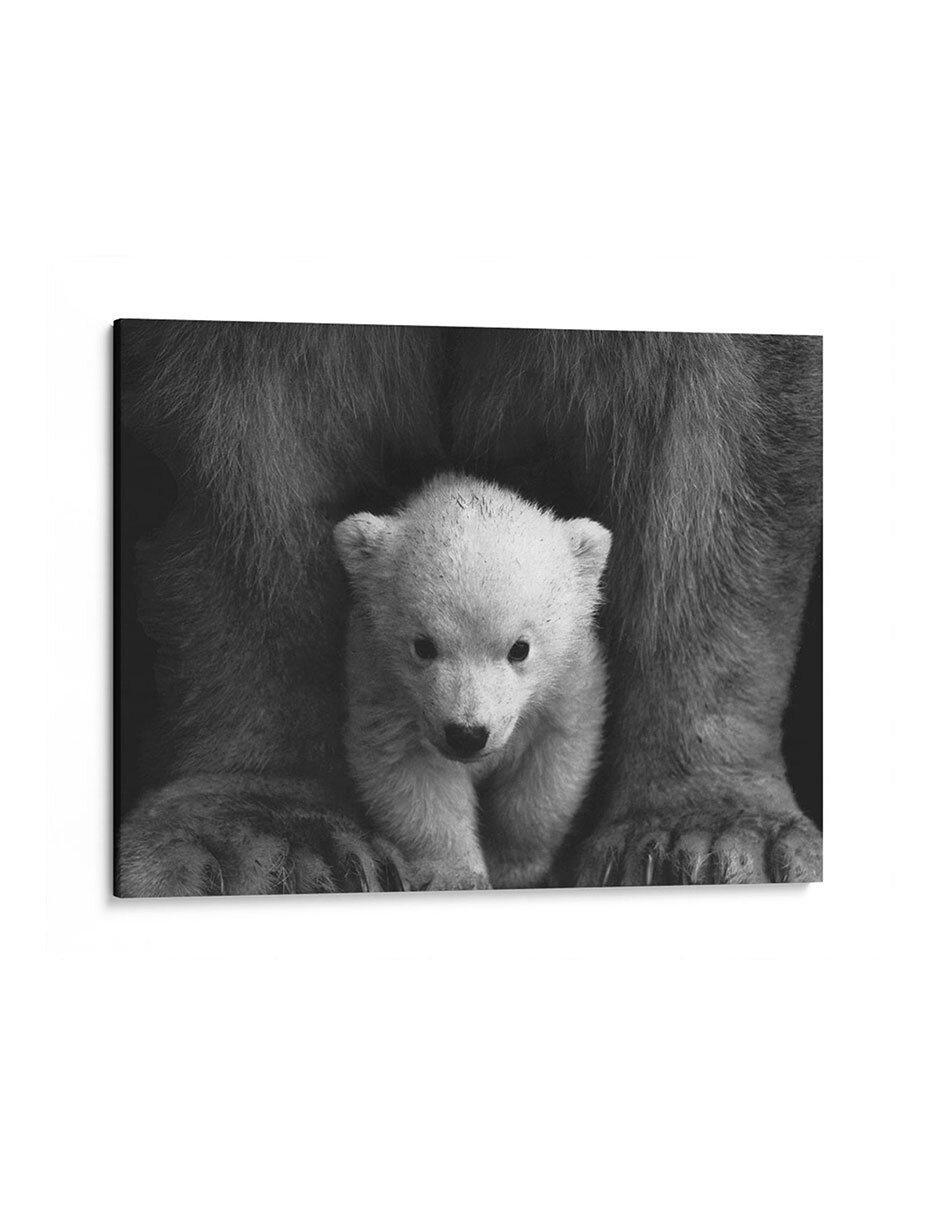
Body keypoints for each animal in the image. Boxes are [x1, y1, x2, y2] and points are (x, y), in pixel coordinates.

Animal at [334, 474, 612, 890]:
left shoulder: (567, 684)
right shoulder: (384, 688)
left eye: (519, 648)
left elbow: (547, 771)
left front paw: (513, 866)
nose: (467, 734)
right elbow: (414, 776)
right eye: (423, 646)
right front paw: (458, 877)